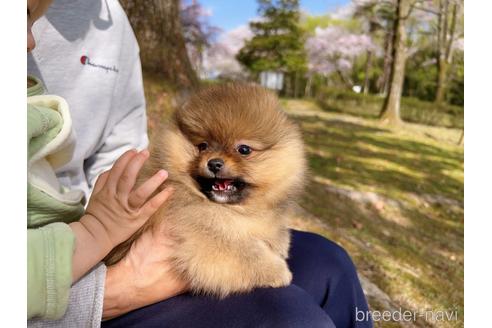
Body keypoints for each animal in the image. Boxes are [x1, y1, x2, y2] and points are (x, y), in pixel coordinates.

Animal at [105, 82, 306, 298]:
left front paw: (280, 243)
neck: (231, 210)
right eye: (203, 146)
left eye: (244, 149)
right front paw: (278, 270)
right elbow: (247, 252)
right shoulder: (201, 234)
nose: (214, 163)